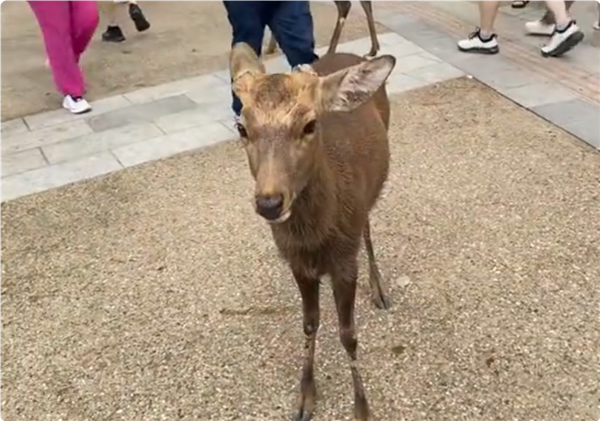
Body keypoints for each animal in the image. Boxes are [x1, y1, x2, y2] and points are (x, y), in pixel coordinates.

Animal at [229, 38, 394, 420]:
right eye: (242, 128)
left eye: (309, 125)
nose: (269, 202)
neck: (314, 239)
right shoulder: (297, 263)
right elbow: (309, 323)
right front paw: (305, 396)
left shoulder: (345, 261)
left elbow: (349, 334)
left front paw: (362, 407)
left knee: (368, 227)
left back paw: (379, 288)